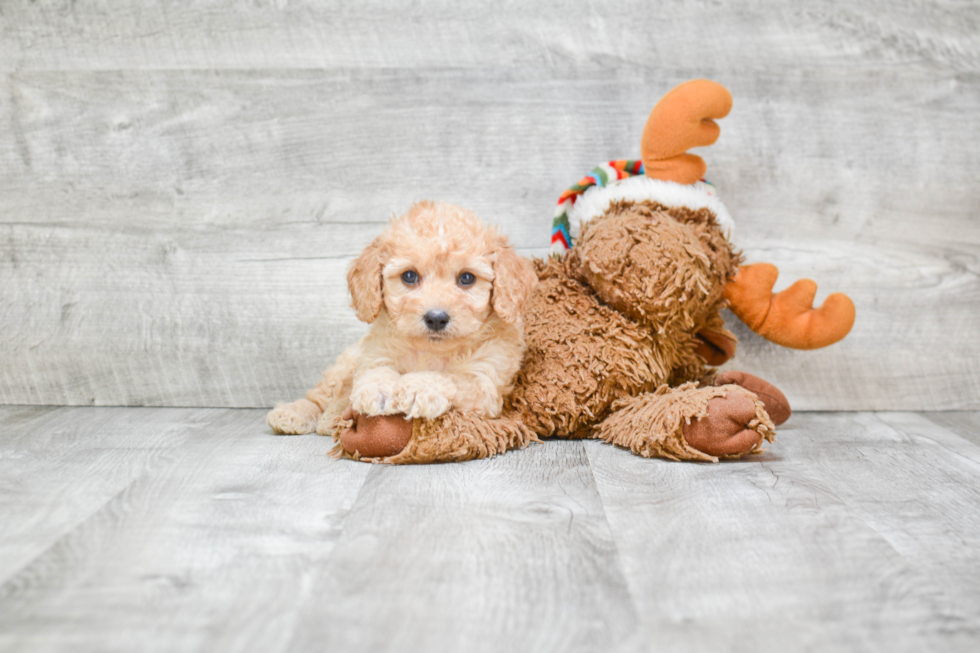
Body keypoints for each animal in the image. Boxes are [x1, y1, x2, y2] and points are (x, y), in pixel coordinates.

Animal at [266, 197, 536, 432]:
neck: (432, 352)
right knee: (321, 395)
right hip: (346, 363)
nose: (436, 318)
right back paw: (295, 413)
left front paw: (417, 388)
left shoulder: (486, 383)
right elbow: (375, 371)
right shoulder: (375, 354)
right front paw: (377, 388)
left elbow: (453, 379)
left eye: (467, 278)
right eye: (409, 276)